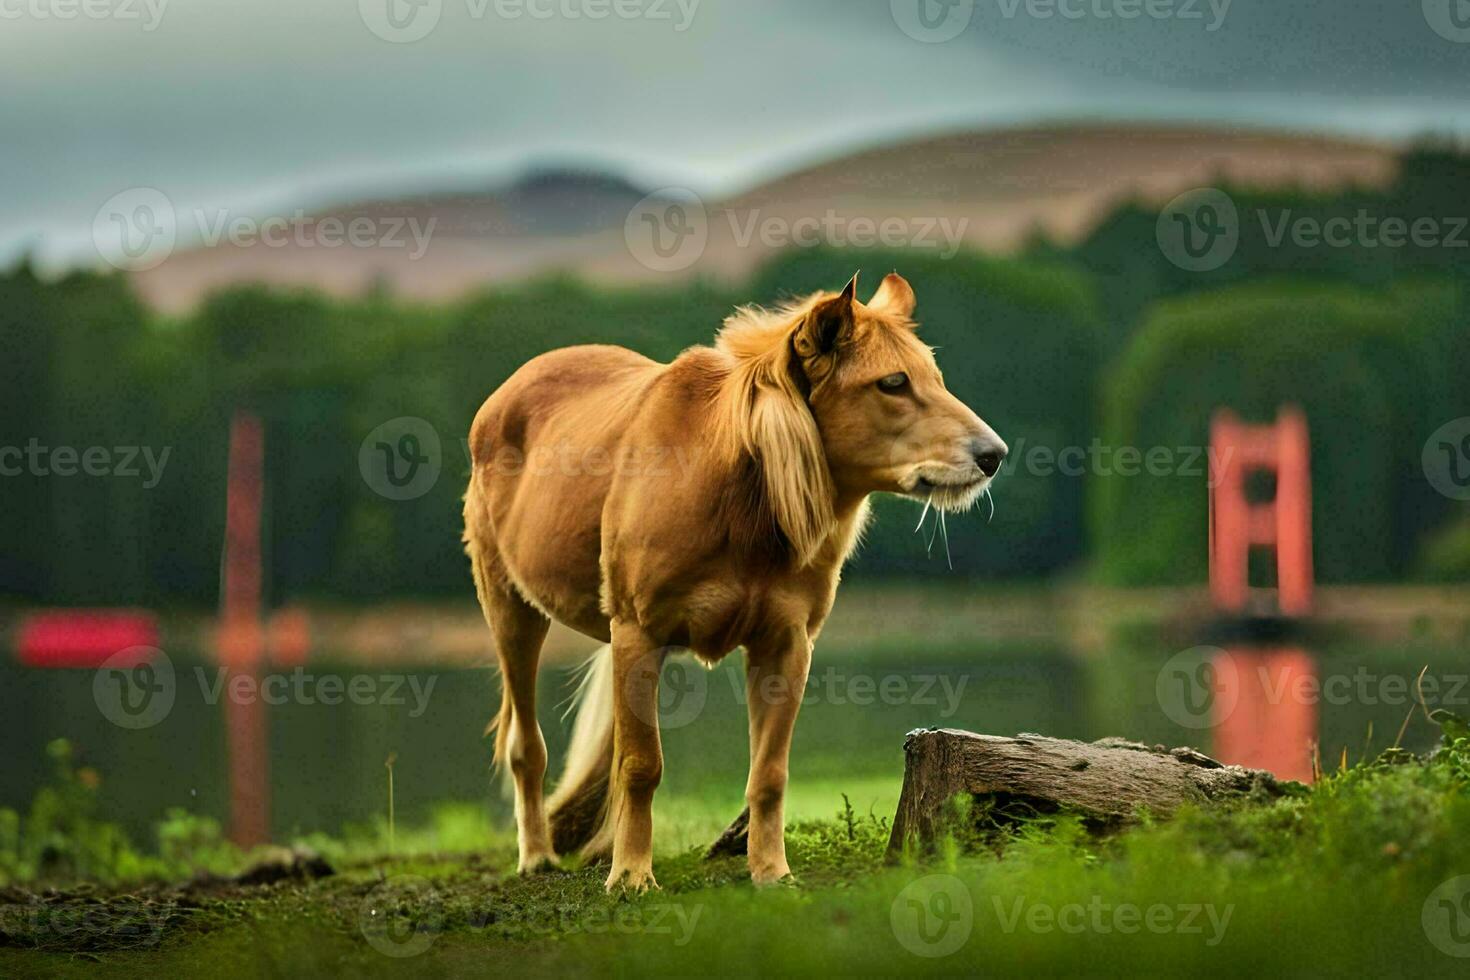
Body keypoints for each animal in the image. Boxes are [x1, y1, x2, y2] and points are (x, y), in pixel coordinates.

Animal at [464, 271, 1005, 893]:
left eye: (935, 379)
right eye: (892, 382)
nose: (993, 455)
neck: (742, 491)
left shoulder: (785, 642)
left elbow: (768, 773)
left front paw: (771, 872)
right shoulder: (638, 630)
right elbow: (641, 765)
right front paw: (632, 877)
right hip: (508, 604)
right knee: (526, 744)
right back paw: (537, 855)